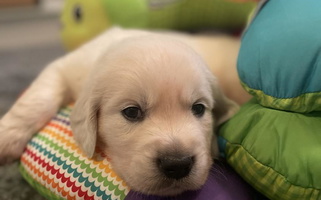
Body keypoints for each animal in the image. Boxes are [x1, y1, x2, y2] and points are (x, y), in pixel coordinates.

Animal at [0, 27, 248, 195]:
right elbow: (38, 98)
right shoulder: (65, 67)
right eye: (131, 112)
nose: (177, 164)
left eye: (198, 108)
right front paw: (6, 138)